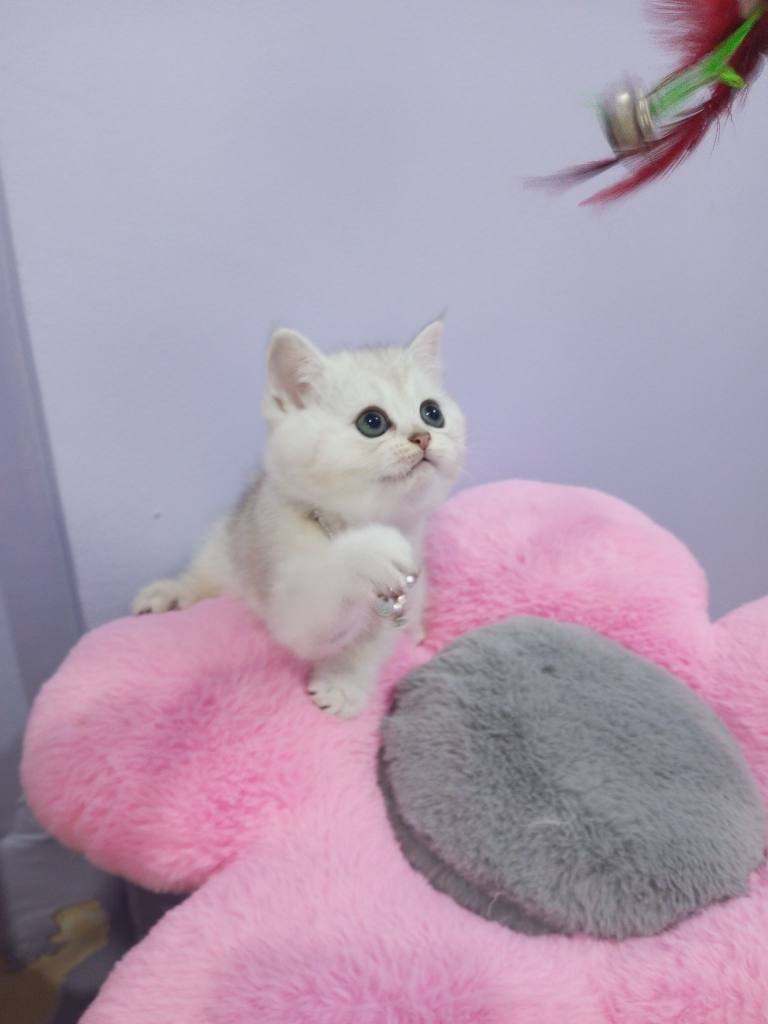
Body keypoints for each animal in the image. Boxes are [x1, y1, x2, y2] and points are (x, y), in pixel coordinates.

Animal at [132, 320, 466, 717]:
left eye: (433, 413)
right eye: (372, 422)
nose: (423, 437)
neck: (350, 521)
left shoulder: (400, 595)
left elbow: (366, 648)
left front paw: (344, 685)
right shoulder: (289, 607)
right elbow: (325, 591)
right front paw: (369, 552)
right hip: (226, 545)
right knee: (206, 575)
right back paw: (172, 592)